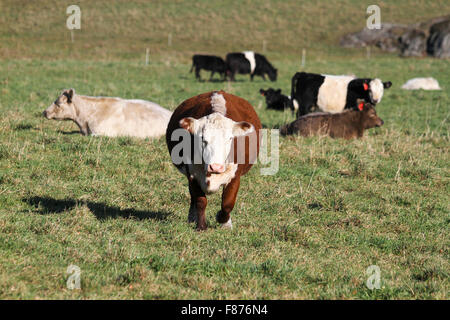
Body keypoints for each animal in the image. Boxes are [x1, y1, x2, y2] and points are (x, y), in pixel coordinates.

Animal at [167, 90, 262, 230]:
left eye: (229, 138)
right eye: (202, 138)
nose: (216, 167)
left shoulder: (235, 176)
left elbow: (227, 203)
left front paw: (224, 222)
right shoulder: (193, 174)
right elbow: (200, 201)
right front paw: (201, 226)